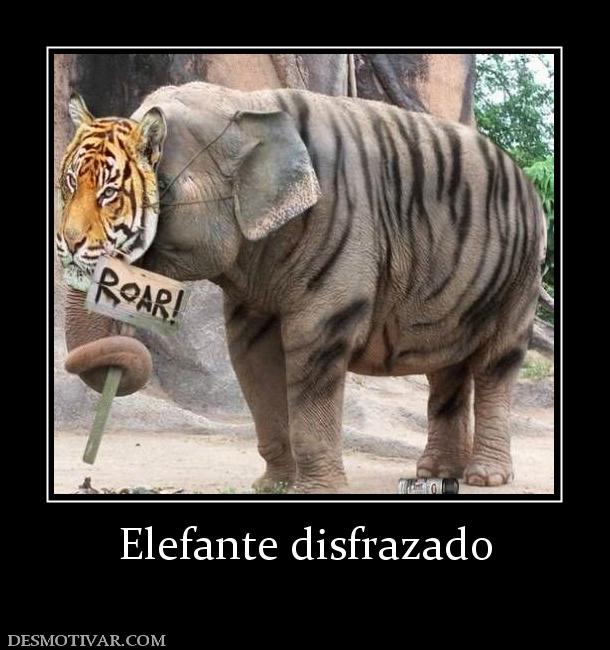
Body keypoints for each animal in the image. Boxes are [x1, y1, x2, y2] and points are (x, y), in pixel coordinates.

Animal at [57, 81, 546, 493]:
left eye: (144, 185)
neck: (246, 103)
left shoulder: (344, 235)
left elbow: (312, 344)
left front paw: (315, 491)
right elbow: (251, 355)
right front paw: (271, 487)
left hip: (523, 274)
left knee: (496, 364)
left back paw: (485, 478)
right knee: (446, 368)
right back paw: (435, 474)